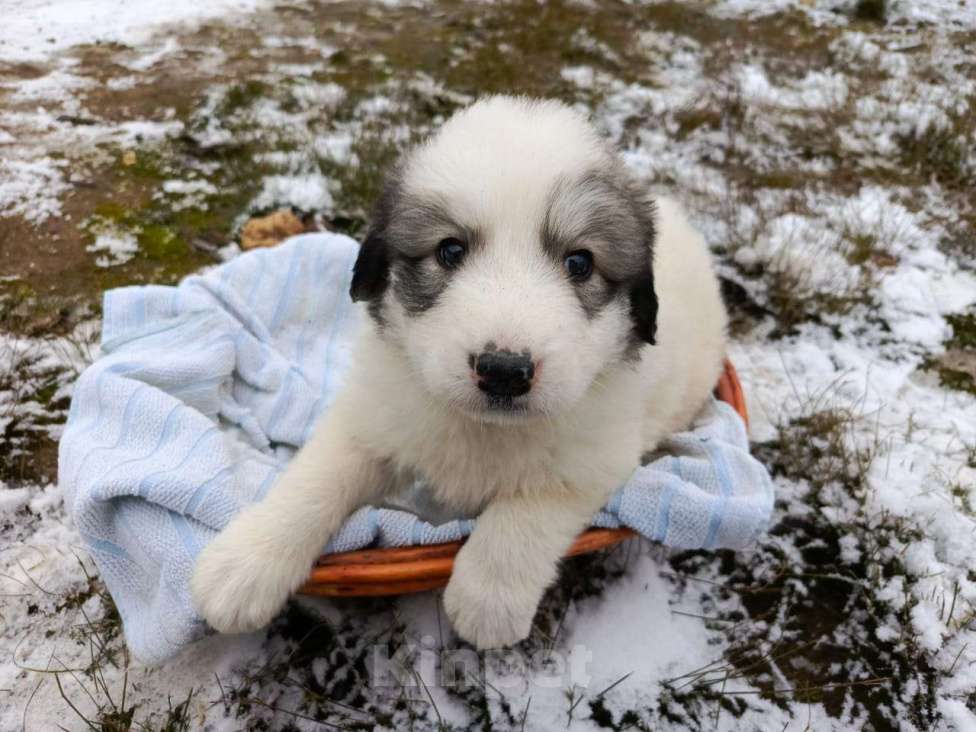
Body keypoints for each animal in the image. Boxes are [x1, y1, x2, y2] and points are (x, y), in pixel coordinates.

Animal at [191, 96, 728, 648]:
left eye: (580, 262)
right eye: (449, 250)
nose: (504, 371)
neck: (483, 429)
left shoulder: (595, 455)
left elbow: (528, 510)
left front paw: (486, 600)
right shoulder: (375, 416)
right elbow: (318, 478)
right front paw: (245, 563)